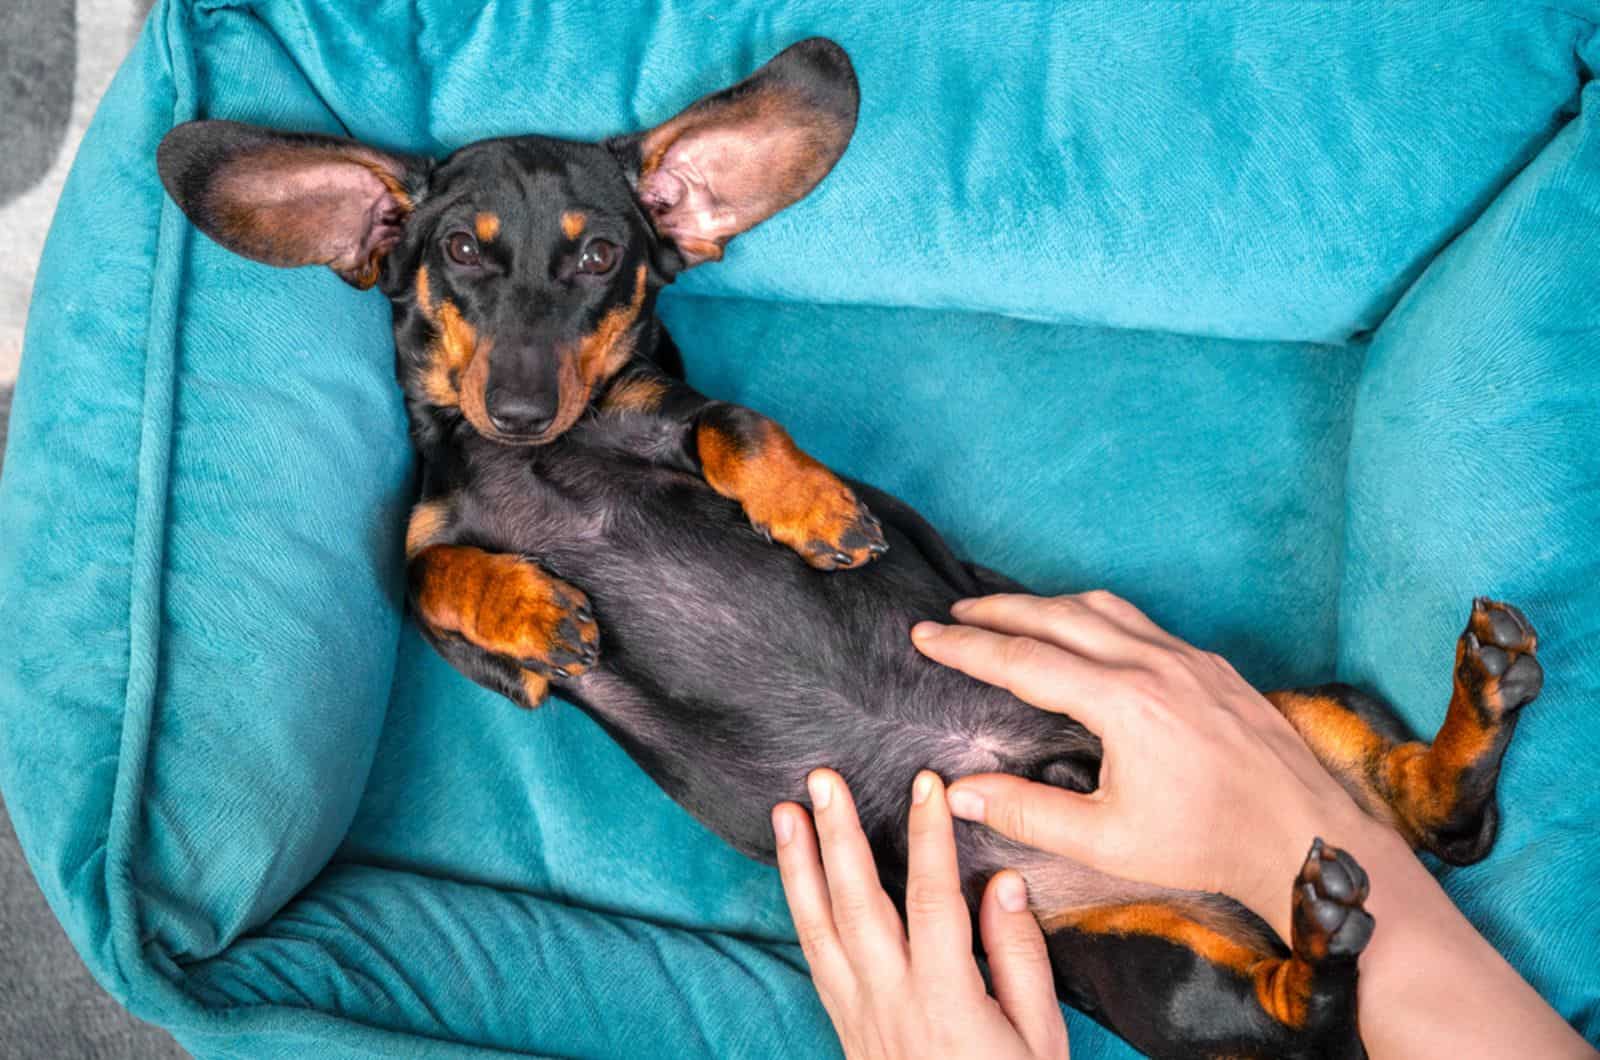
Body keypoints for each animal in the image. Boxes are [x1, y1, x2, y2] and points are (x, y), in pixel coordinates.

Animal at [159, 37, 1536, 1056]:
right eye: (456, 253)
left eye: (600, 254)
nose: (518, 405)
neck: (541, 460)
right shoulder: (438, 564)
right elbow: (429, 571)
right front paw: (531, 609)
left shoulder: (666, 418)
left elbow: (732, 422)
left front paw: (811, 511)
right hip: (1145, 959)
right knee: (1348, 948)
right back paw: (1344, 893)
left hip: (1270, 737)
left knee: (1416, 864)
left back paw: (1452, 739)